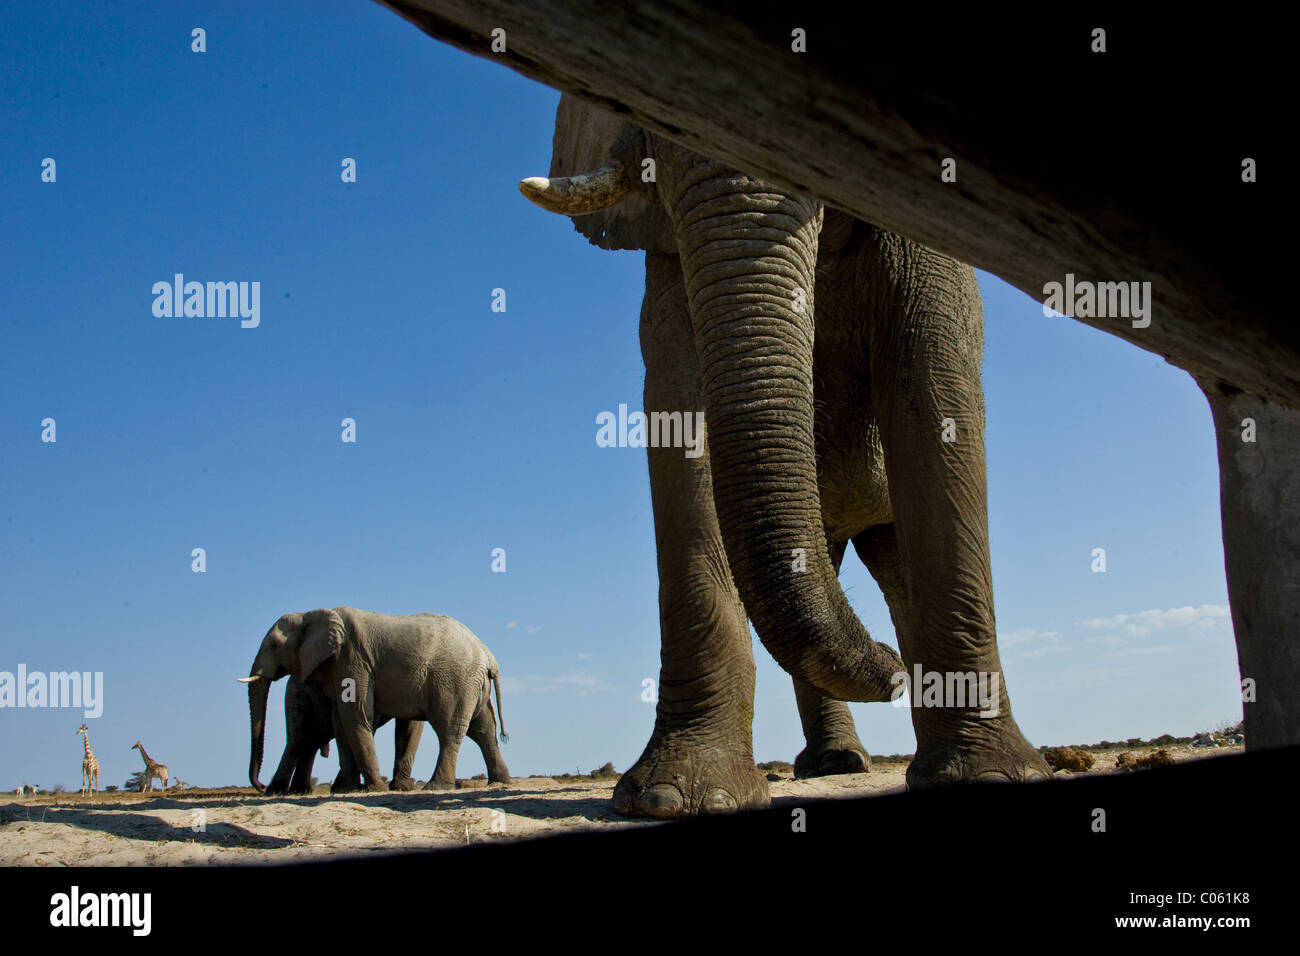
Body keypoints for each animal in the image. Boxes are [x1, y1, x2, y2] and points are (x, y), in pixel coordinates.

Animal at [246, 671, 421, 801]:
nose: (260, 785)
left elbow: (408, 724)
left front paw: (401, 788)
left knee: (309, 743)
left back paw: (300, 791)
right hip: (296, 695)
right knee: (297, 741)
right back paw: (277, 791)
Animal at [517, 95, 1045, 816]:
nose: (888, 669)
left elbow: (937, 393)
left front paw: (992, 779)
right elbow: (681, 414)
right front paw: (676, 799)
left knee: (897, 573)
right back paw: (837, 764)